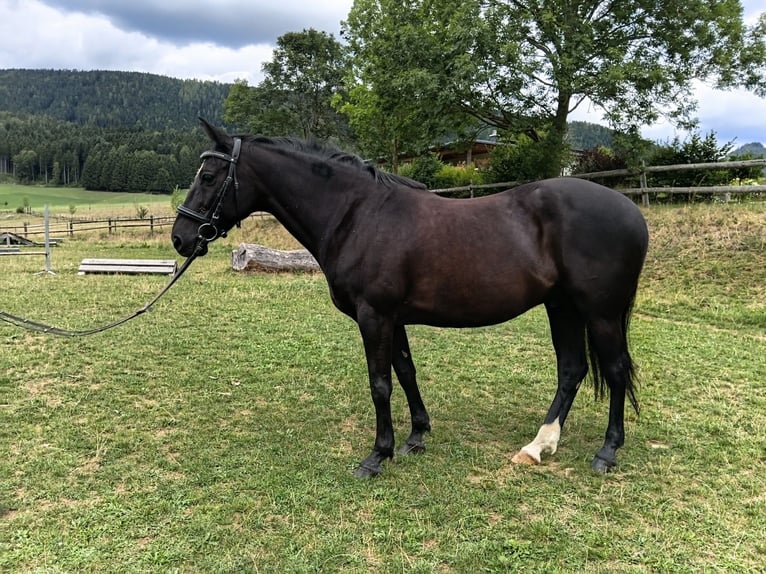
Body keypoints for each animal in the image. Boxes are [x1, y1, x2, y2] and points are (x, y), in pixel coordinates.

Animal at [172, 119, 649, 478]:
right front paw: (416, 436)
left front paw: (377, 455)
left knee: (615, 370)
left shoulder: (374, 316)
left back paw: (606, 452)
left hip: (600, 313)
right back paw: (538, 445)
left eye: (209, 177)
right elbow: (405, 372)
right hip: (562, 306)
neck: (358, 215)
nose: (181, 237)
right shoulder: (393, 318)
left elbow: (380, 383)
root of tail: (632, 210)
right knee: (572, 369)